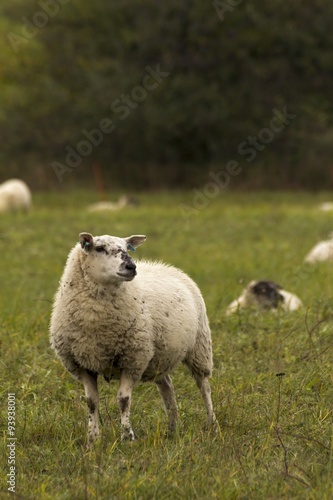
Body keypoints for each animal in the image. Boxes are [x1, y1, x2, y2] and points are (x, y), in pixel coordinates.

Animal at [49, 232, 215, 444]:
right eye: (99, 248)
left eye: (127, 248)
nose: (131, 267)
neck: (98, 324)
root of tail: (167, 267)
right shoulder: (82, 365)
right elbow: (92, 403)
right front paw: (93, 439)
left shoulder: (133, 360)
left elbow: (123, 400)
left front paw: (127, 436)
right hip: (158, 358)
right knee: (167, 387)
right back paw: (173, 428)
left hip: (200, 347)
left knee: (204, 387)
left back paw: (212, 423)